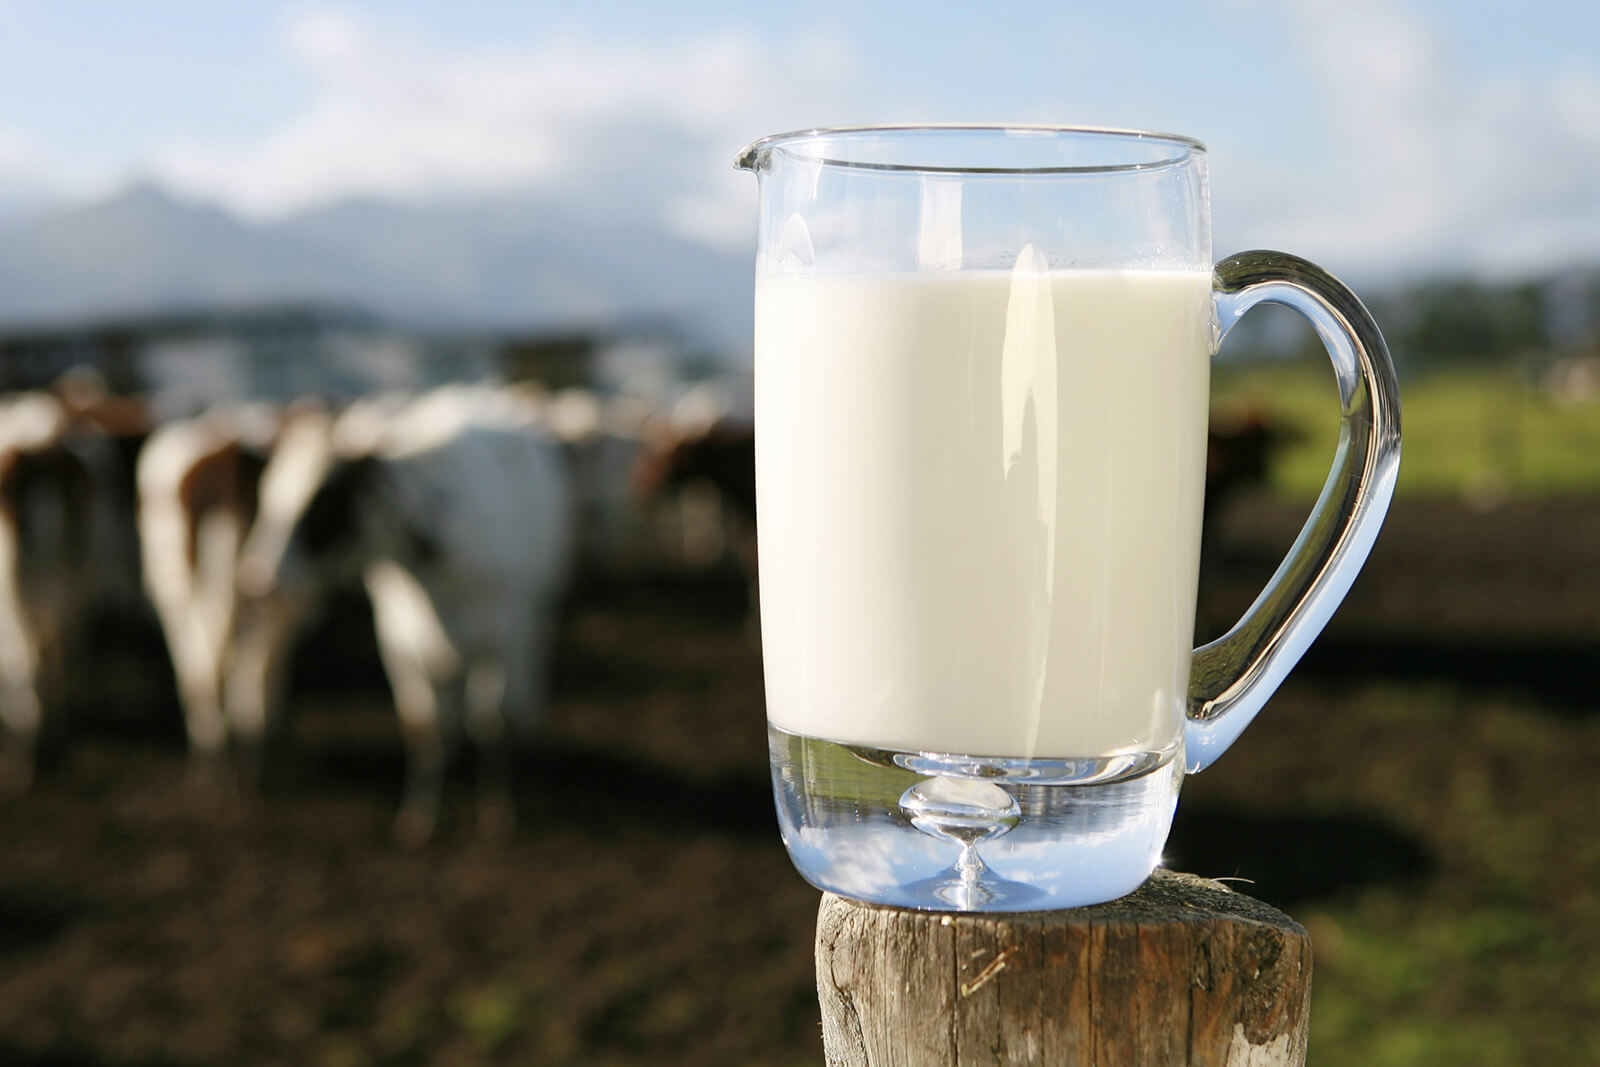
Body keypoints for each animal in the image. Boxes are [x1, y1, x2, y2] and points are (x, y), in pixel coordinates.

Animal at [232, 383, 569, 844]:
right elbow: (422, 726)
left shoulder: (502, 639)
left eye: (325, 500)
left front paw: (498, 809)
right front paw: (422, 814)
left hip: (538, 616)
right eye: (268, 493)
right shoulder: (400, 640)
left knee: (526, 695)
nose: (257, 579)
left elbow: (494, 723)